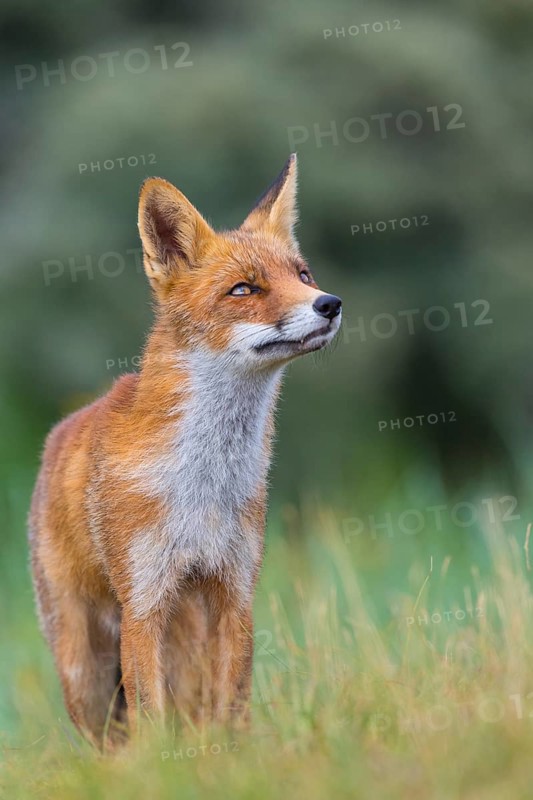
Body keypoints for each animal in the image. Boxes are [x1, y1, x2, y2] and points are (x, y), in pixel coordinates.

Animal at [28, 153, 342, 745]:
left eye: (302, 275)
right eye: (243, 289)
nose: (329, 304)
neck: (204, 480)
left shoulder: (235, 592)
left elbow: (232, 707)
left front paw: (231, 758)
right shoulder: (144, 603)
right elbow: (151, 720)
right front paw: (163, 765)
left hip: (187, 641)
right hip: (85, 670)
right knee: (108, 742)